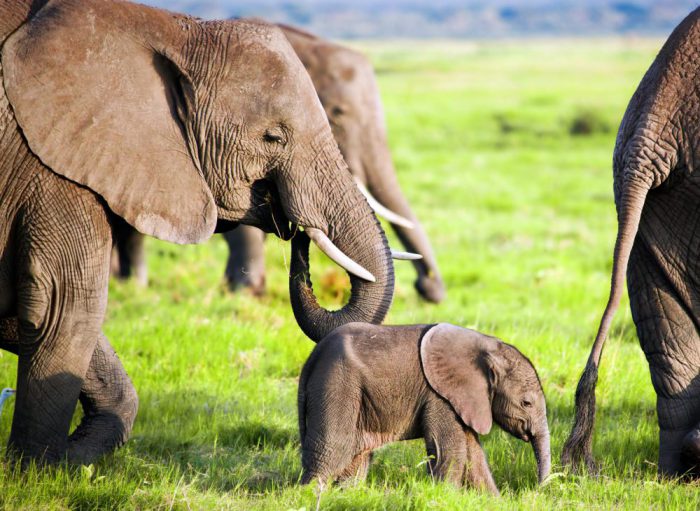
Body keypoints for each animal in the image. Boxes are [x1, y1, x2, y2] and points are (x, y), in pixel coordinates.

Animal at [0, 0, 394, 464]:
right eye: (273, 137)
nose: (297, 231)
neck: (169, 29)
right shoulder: (50, 164)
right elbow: (64, 304)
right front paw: (38, 470)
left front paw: (67, 461)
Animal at [298, 322, 548, 494]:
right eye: (526, 403)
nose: (537, 489)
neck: (487, 346)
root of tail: (313, 356)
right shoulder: (440, 396)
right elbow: (451, 451)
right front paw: (446, 496)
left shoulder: (462, 399)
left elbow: (474, 454)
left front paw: (493, 501)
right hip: (336, 383)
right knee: (334, 448)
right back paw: (310, 496)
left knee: (356, 456)